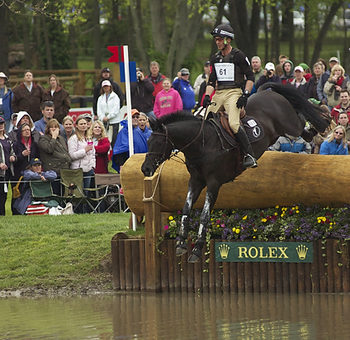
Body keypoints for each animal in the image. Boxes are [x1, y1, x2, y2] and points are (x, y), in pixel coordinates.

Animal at [141, 83, 330, 262]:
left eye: (159, 143)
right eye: (148, 142)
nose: (145, 169)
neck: (202, 143)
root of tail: (267, 92)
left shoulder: (214, 182)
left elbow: (204, 216)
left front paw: (196, 250)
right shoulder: (195, 181)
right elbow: (186, 209)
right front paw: (180, 243)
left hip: (290, 125)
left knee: (301, 122)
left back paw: (319, 124)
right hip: (281, 132)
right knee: (303, 130)